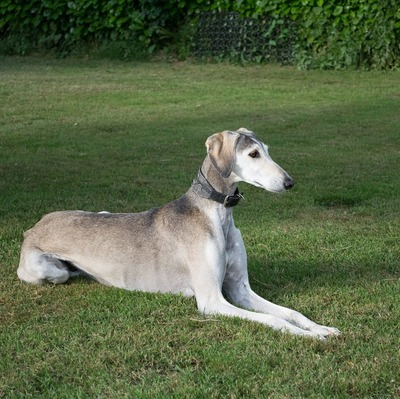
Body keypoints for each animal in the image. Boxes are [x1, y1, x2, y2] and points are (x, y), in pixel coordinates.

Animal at [17, 129, 340, 340]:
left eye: (268, 150)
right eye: (253, 154)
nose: (289, 183)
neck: (213, 212)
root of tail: (34, 226)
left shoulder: (240, 290)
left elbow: (290, 312)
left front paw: (321, 328)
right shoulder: (212, 301)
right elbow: (275, 319)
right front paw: (309, 336)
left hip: (101, 212)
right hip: (48, 269)